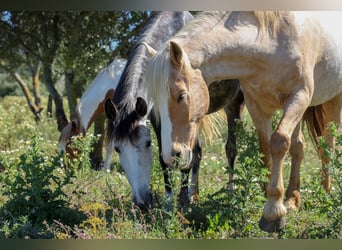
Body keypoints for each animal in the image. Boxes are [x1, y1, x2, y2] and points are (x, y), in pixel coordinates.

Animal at [104, 12, 243, 211]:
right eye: (117, 148)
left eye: (147, 144)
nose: (141, 203)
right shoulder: (157, 118)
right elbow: (166, 158)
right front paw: (170, 202)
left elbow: (184, 158)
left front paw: (182, 201)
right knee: (198, 152)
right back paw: (194, 194)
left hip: (234, 103)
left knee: (230, 149)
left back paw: (229, 192)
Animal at [144, 10, 342, 231]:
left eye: (181, 95)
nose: (171, 157)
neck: (270, 42)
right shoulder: (257, 105)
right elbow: (266, 151)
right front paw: (270, 200)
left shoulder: (299, 96)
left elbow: (279, 143)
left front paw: (274, 213)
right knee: (298, 147)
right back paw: (292, 199)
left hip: (331, 101)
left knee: (328, 146)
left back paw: (325, 191)